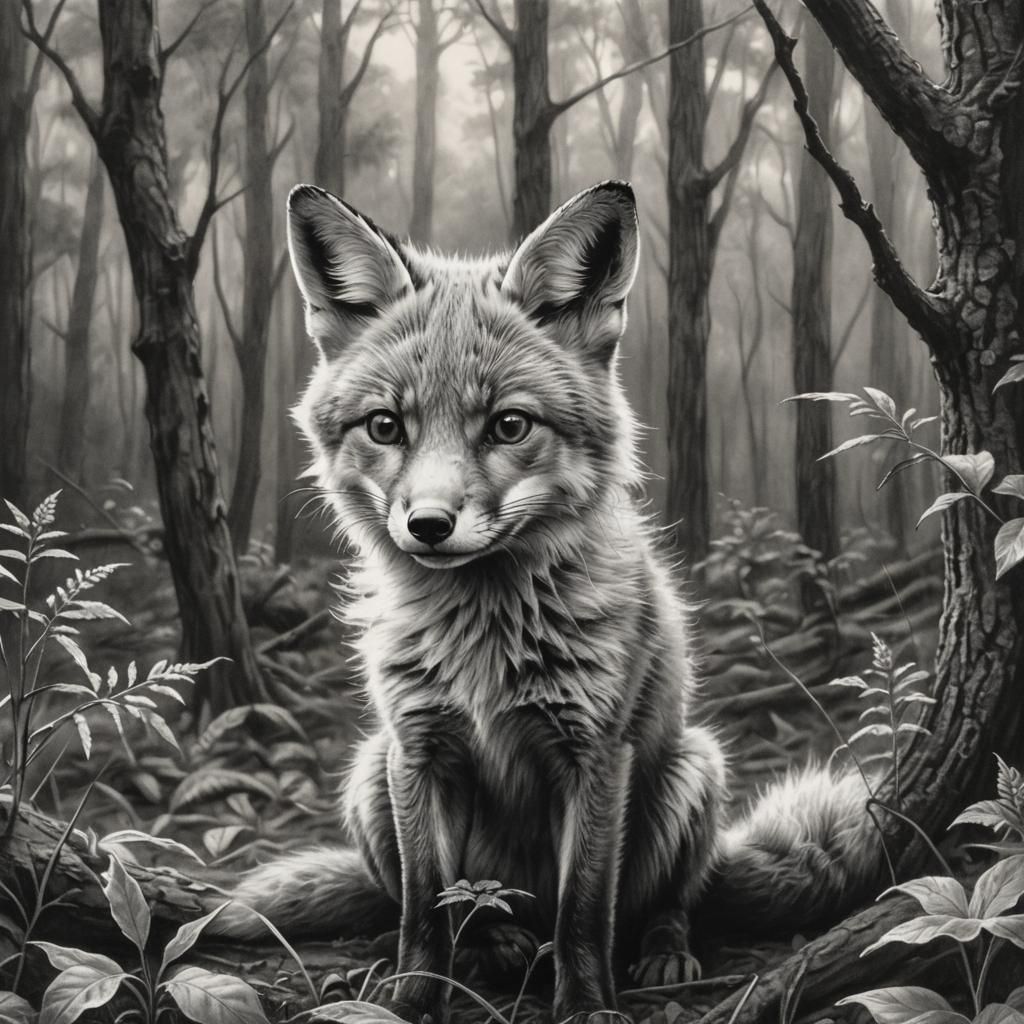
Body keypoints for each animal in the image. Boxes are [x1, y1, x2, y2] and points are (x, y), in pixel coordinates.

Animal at [215, 181, 879, 1024]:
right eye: (386, 427)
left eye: (508, 425)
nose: (428, 525)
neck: (482, 641)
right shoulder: (418, 747)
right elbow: (423, 909)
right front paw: (410, 1000)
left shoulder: (594, 753)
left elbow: (583, 911)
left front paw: (587, 1005)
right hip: (370, 775)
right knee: (452, 909)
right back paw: (488, 948)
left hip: (694, 769)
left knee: (669, 902)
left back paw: (663, 953)